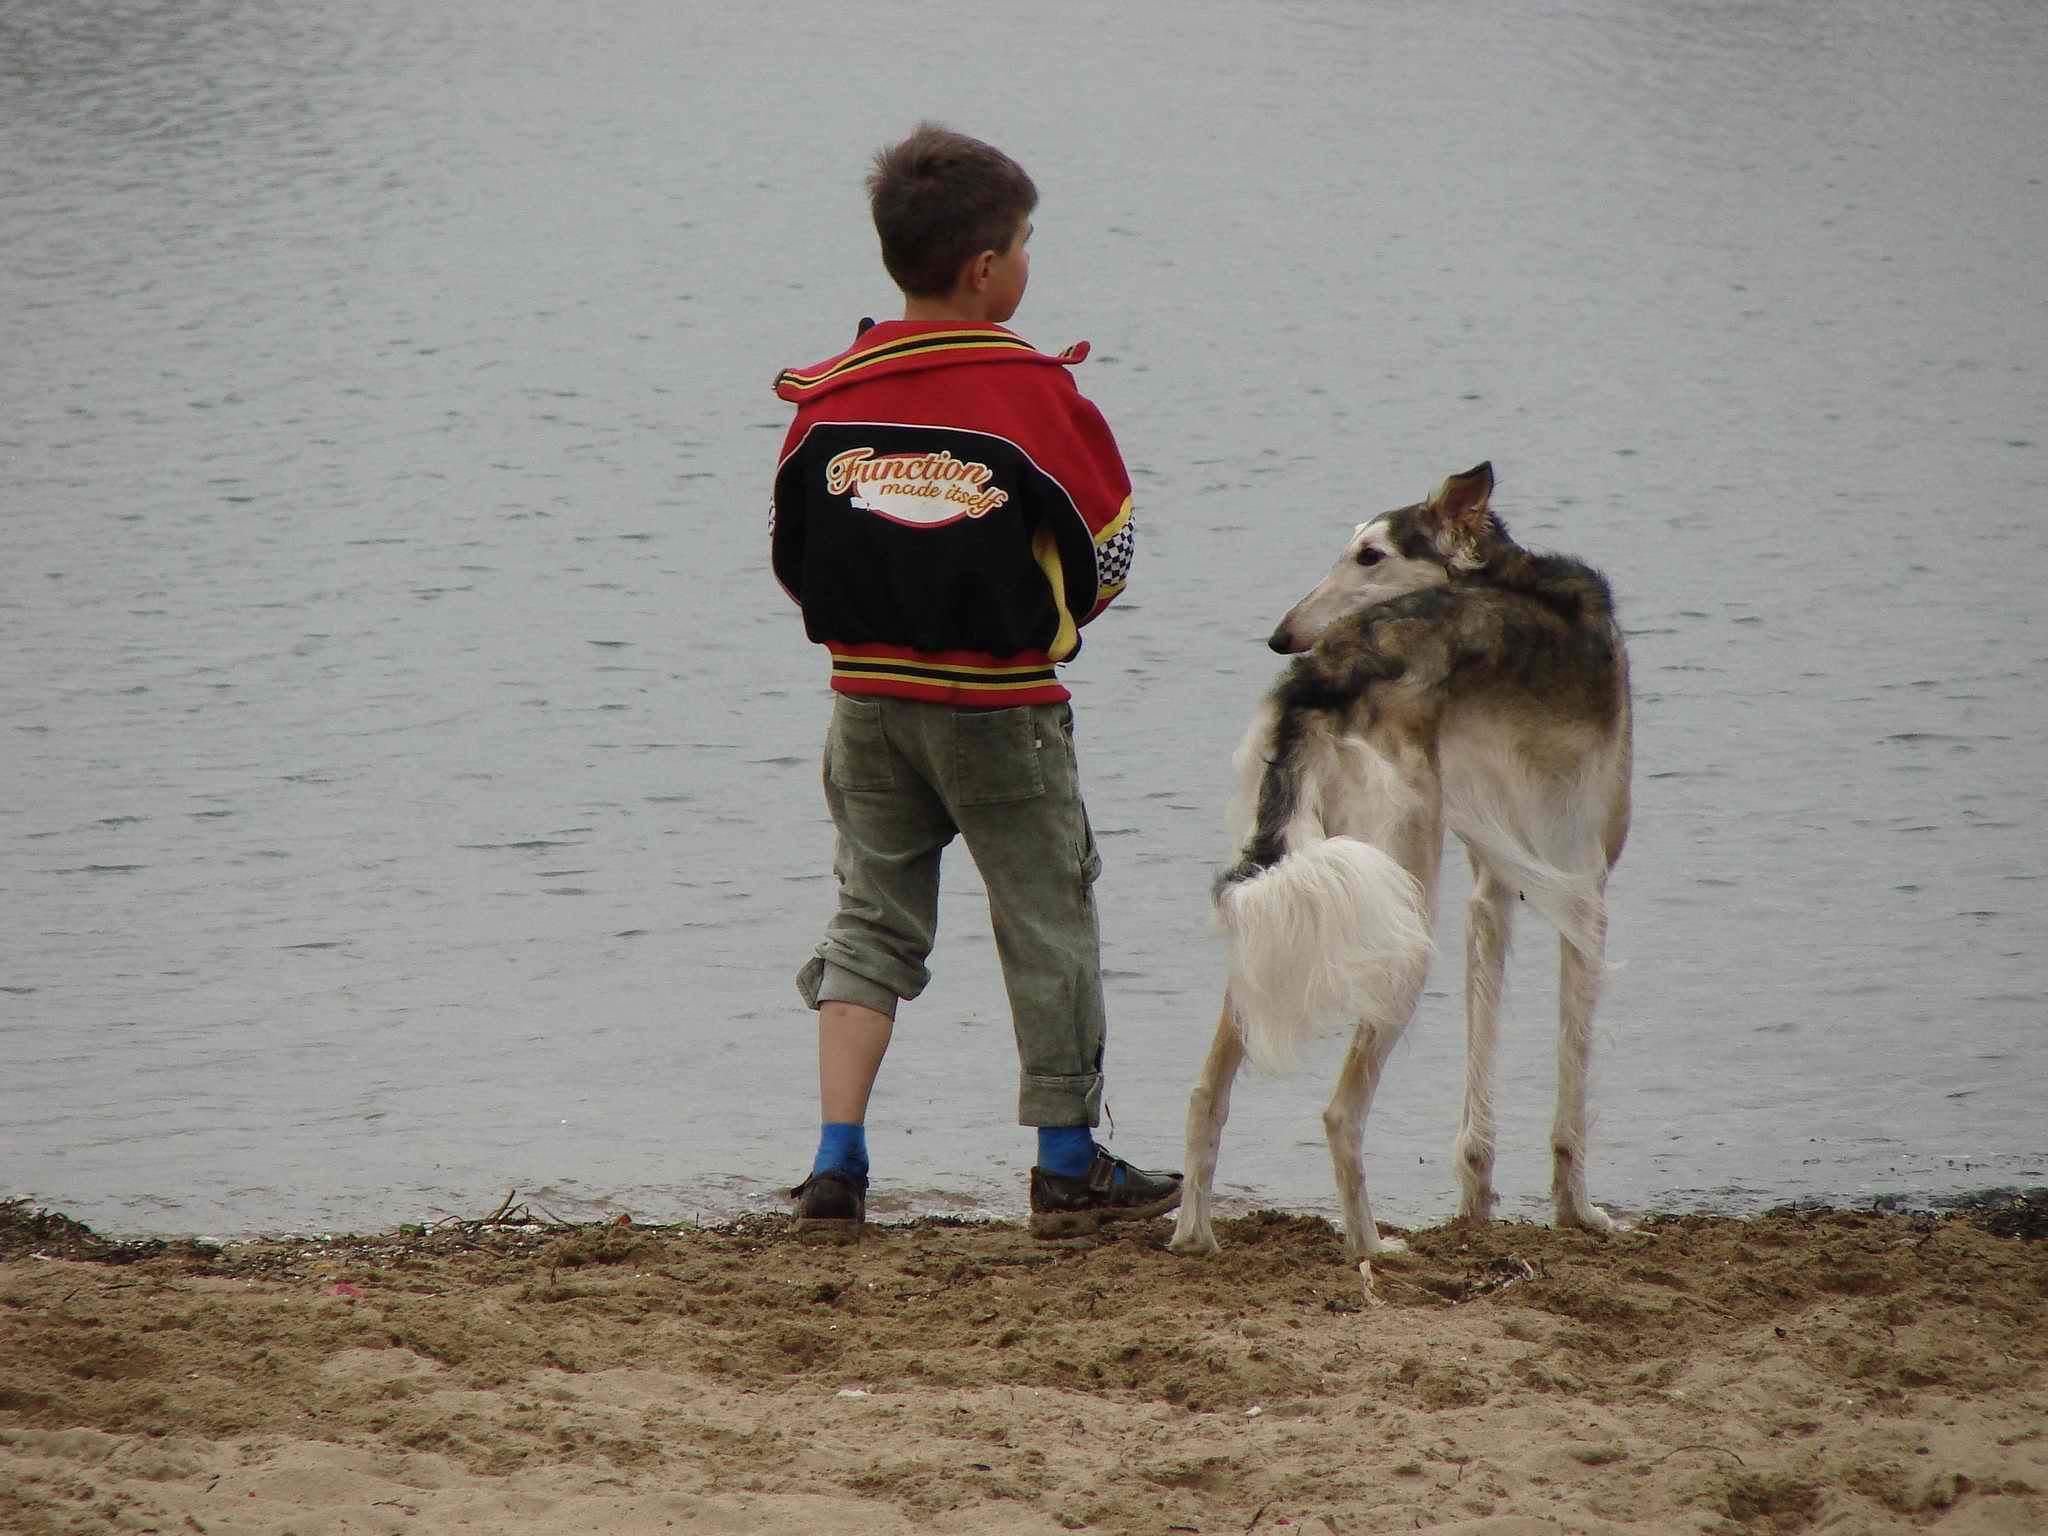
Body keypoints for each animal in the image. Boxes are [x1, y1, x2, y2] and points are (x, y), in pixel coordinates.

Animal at [1167, 462, 1632, 1261]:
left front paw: (1477, 1203)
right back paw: (1370, 1246)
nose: (1280, 635)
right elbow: (1572, 1080)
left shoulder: (1492, 891)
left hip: (1289, 902)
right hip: (1400, 912)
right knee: (1339, 1113)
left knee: (1207, 1090)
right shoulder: (1586, 890)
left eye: (1369, 555)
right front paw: (1579, 1212)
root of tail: (1322, 678)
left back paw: (1195, 1231)